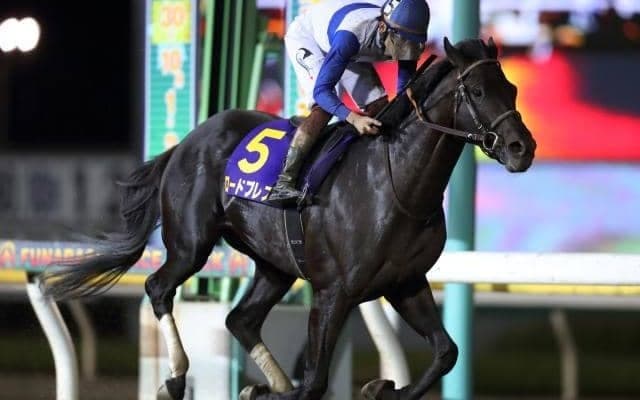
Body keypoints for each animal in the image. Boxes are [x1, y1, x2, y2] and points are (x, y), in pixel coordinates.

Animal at [42, 37, 536, 400]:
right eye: (476, 92)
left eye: (511, 89)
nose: (521, 148)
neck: (398, 184)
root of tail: (186, 142)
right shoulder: (335, 291)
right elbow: (315, 381)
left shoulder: (405, 281)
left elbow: (446, 353)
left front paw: (382, 387)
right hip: (190, 244)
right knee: (158, 288)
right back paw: (178, 379)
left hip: (274, 263)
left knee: (240, 319)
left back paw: (267, 386)